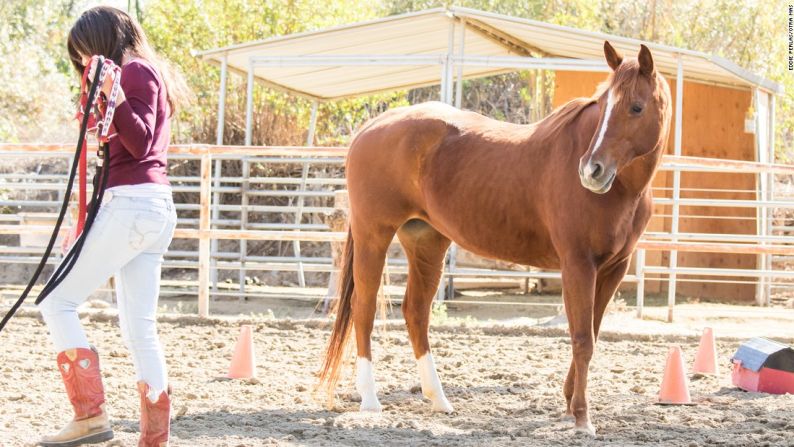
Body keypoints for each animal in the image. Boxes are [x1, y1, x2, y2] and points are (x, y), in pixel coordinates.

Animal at [316, 42, 668, 438]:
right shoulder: (578, 264)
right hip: (373, 234)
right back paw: (371, 399)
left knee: (416, 312)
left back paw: (438, 399)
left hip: (426, 242)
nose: (591, 171)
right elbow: (581, 338)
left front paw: (568, 405)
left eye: (635, 107)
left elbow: (591, 332)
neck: (623, 189)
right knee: (363, 307)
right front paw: (581, 417)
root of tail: (371, 127)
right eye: (604, 103)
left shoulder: (613, 269)